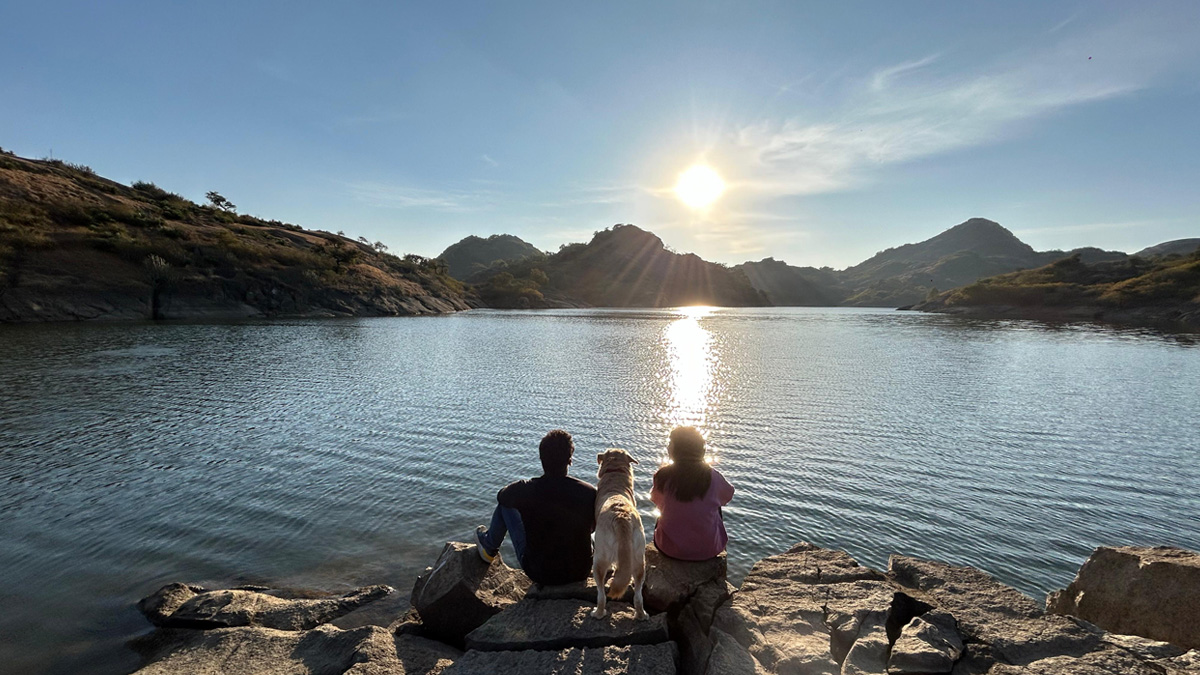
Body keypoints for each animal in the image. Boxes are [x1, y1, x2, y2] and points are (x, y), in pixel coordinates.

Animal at [590, 449, 648, 619]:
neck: (615, 474)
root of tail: (621, 517)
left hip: (599, 559)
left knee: (601, 594)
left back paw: (598, 613)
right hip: (639, 560)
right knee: (638, 594)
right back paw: (641, 615)